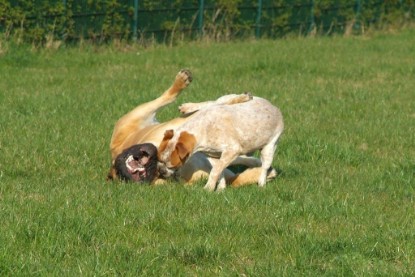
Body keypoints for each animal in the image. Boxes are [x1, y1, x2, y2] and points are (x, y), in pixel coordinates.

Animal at [108, 69, 276, 185]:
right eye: (140, 175)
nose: (146, 165)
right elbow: (236, 179)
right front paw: (264, 174)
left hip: (137, 115)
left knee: (170, 98)